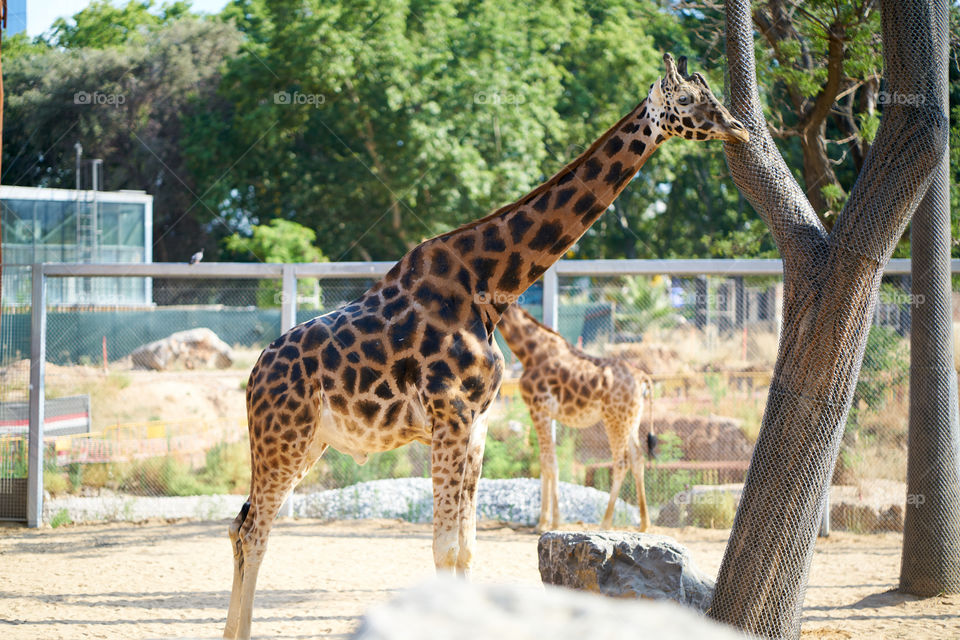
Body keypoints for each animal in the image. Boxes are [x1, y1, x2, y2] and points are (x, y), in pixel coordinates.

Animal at [498, 302, 656, 532]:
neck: (530, 352)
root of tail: (642, 377)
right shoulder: (547, 413)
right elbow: (546, 461)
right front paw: (547, 520)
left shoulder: (538, 410)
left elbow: (548, 463)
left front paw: (548, 523)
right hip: (631, 421)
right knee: (638, 459)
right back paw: (644, 524)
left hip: (615, 419)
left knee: (621, 463)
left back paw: (605, 523)